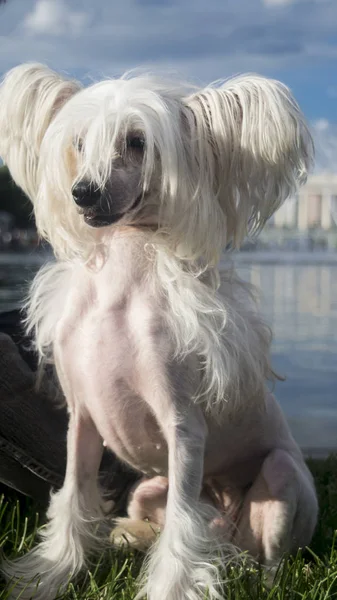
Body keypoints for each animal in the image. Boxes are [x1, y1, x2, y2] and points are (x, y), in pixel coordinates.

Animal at [0, 64, 318, 600]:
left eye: (137, 142)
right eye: (79, 143)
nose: (83, 192)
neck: (121, 284)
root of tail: (228, 531)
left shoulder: (184, 429)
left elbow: (182, 530)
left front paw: (170, 587)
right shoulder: (82, 422)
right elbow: (73, 496)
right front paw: (50, 574)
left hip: (282, 476)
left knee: (266, 556)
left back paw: (263, 577)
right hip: (147, 488)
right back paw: (126, 536)